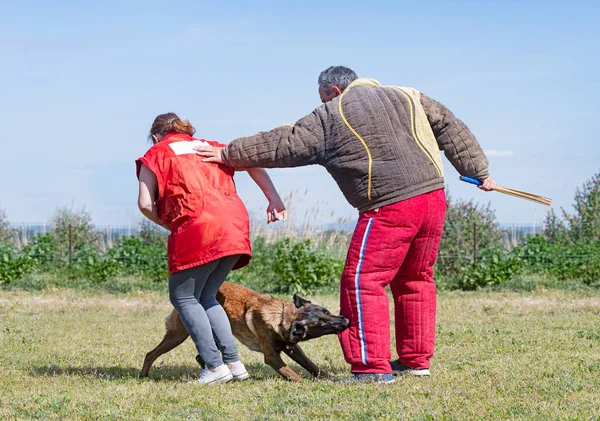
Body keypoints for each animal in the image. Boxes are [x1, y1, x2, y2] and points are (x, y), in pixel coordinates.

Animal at [140, 282, 350, 380]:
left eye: (327, 311)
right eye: (322, 325)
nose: (346, 319)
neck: (283, 317)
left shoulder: (292, 347)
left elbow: (311, 365)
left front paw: (327, 378)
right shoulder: (271, 356)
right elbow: (291, 372)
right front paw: (302, 382)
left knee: (201, 357)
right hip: (178, 335)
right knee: (151, 354)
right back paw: (143, 375)